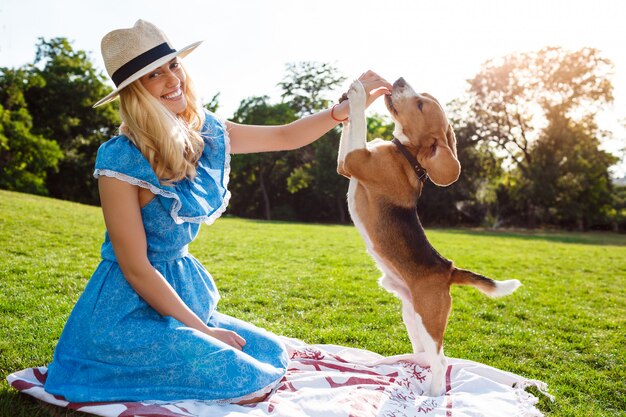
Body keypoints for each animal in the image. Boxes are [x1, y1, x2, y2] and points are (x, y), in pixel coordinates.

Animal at [336, 79, 516, 396]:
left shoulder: (355, 160)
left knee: (441, 362)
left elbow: (360, 122)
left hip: (429, 319)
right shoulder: (345, 165)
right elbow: (350, 130)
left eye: (420, 104)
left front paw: (358, 94)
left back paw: (432, 396)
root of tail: (449, 270)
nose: (398, 81)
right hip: (412, 315)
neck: (407, 154)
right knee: (427, 356)